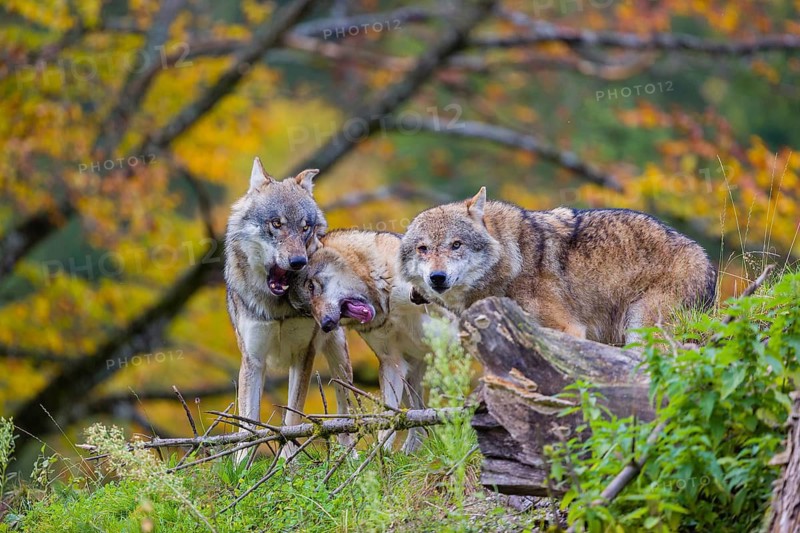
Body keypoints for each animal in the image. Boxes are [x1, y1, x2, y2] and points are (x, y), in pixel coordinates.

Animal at [225, 157, 352, 458]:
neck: (278, 308)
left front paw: (288, 461)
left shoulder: (303, 355)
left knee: (347, 413)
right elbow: (248, 426)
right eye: (276, 223)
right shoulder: (253, 359)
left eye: (305, 227)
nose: (298, 262)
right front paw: (241, 466)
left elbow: (292, 419)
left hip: (339, 359)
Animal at [290, 229, 454, 452]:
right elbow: (388, 418)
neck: (389, 300)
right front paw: (380, 453)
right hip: (410, 377)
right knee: (419, 425)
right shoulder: (391, 361)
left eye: (311, 286)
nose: (325, 325)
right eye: (307, 310)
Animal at [400, 187, 716, 345]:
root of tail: (707, 262)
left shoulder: (568, 330)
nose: (437, 277)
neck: (512, 261)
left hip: (642, 328)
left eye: (456, 245)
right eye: (423, 249)